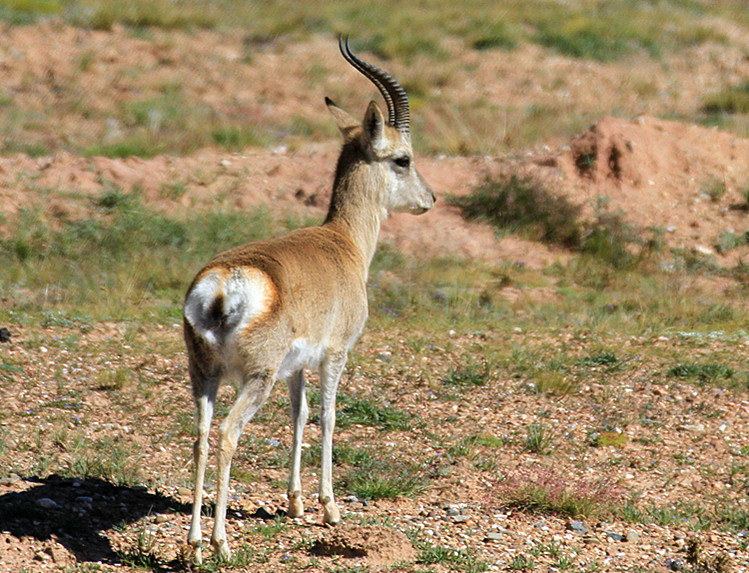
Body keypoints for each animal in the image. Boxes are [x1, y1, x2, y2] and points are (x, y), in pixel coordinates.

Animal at [182, 33, 436, 560]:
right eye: (403, 158)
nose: (430, 200)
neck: (342, 241)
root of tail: (224, 285)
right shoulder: (335, 354)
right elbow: (328, 416)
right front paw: (330, 508)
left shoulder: (296, 366)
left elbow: (298, 416)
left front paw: (296, 502)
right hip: (254, 380)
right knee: (228, 434)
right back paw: (220, 543)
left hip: (204, 376)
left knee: (200, 436)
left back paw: (193, 544)